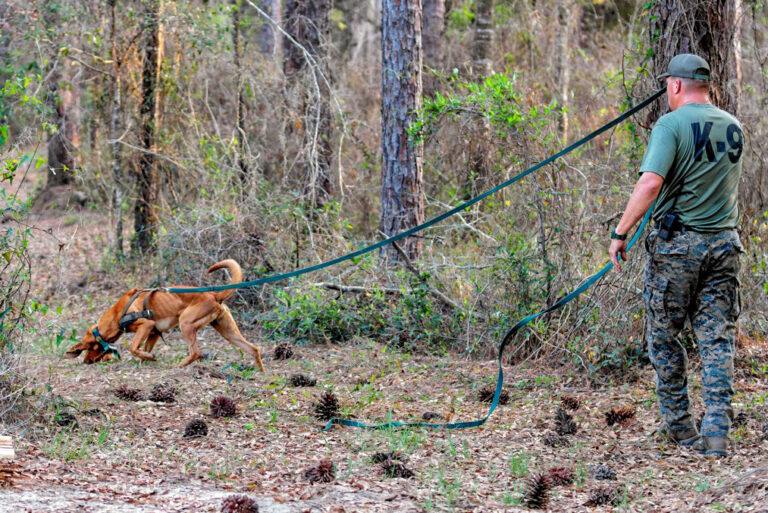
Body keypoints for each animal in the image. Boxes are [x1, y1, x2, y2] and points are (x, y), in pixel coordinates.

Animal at [67, 258, 270, 370]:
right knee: (253, 348)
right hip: (227, 331)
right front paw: (146, 359)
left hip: (185, 323)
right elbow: (143, 349)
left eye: (88, 348)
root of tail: (214, 294)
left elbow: (133, 348)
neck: (117, 313)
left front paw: (147, 357)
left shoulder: (146, 325)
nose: (85, 362)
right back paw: (261, 374)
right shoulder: (154, 333)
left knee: (195, 352)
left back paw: (179, 366)